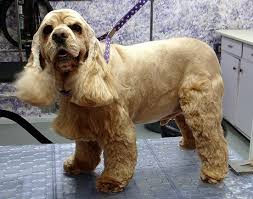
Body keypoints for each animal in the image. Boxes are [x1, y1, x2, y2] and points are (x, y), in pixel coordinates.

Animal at [14, 8, 227, 192]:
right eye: (47, 30)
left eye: (75, 27)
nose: (58, 35)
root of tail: (209, 49)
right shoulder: (84, 122)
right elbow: (84, 150)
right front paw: (78, 165)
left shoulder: (116, 126)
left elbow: (119, 155)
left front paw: (111, 181)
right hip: (182, 106)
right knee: (191, 130)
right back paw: (188, 145)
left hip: (200, 105)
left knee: (214, 139)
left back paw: (214, 172)